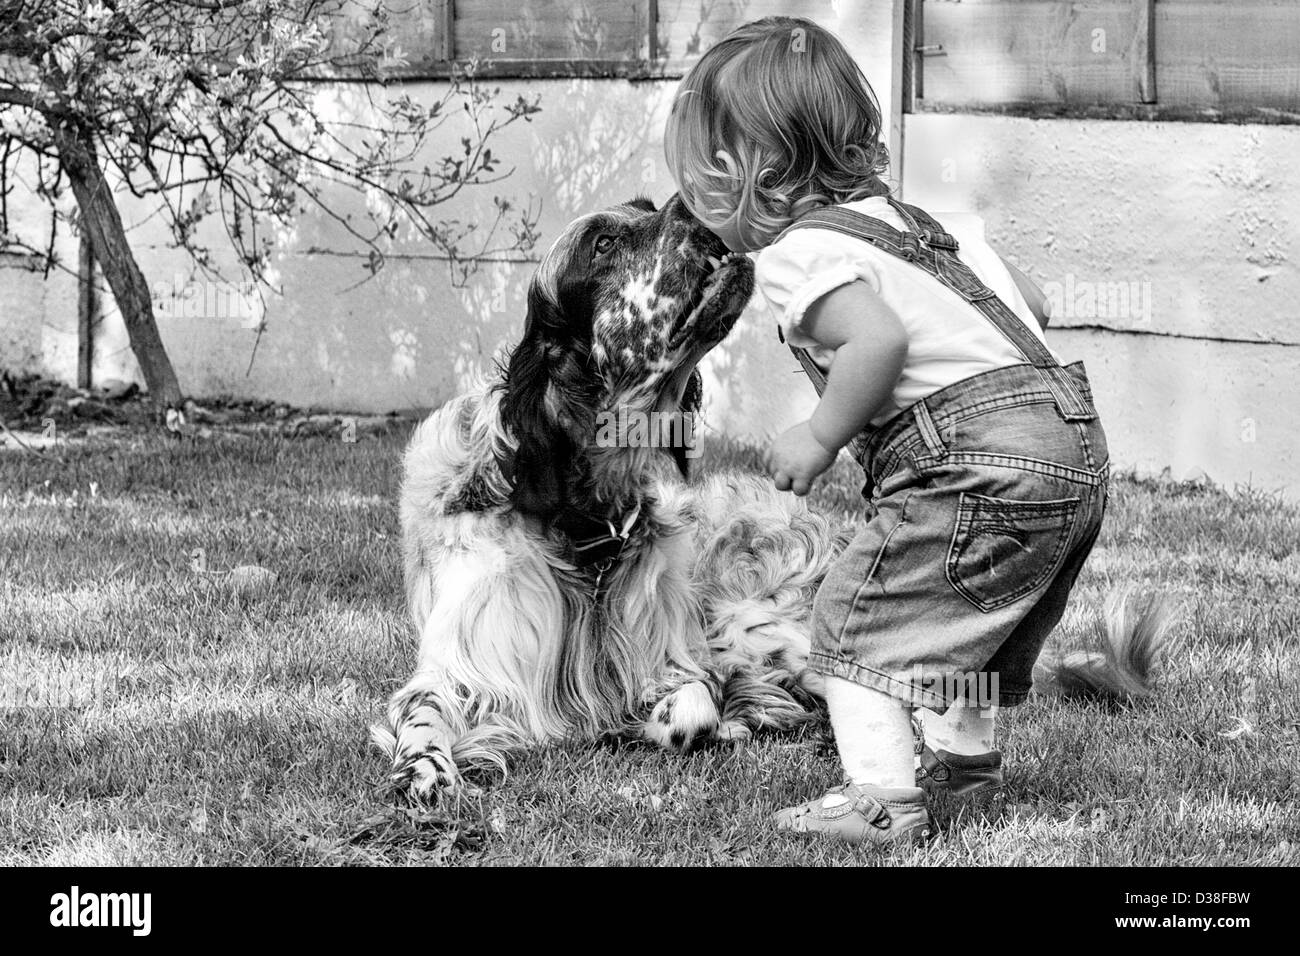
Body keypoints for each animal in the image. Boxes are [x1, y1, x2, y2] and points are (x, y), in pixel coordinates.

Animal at [374, 195, 1170, 806]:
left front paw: (672, 723)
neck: (588, 524)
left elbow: (691, 699)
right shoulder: (462, 670)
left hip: (770, 622)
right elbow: (424, 715)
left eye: (642, 207)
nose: (689, 208)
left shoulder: (684, 650)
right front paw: (426, 773)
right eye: (603, 244)